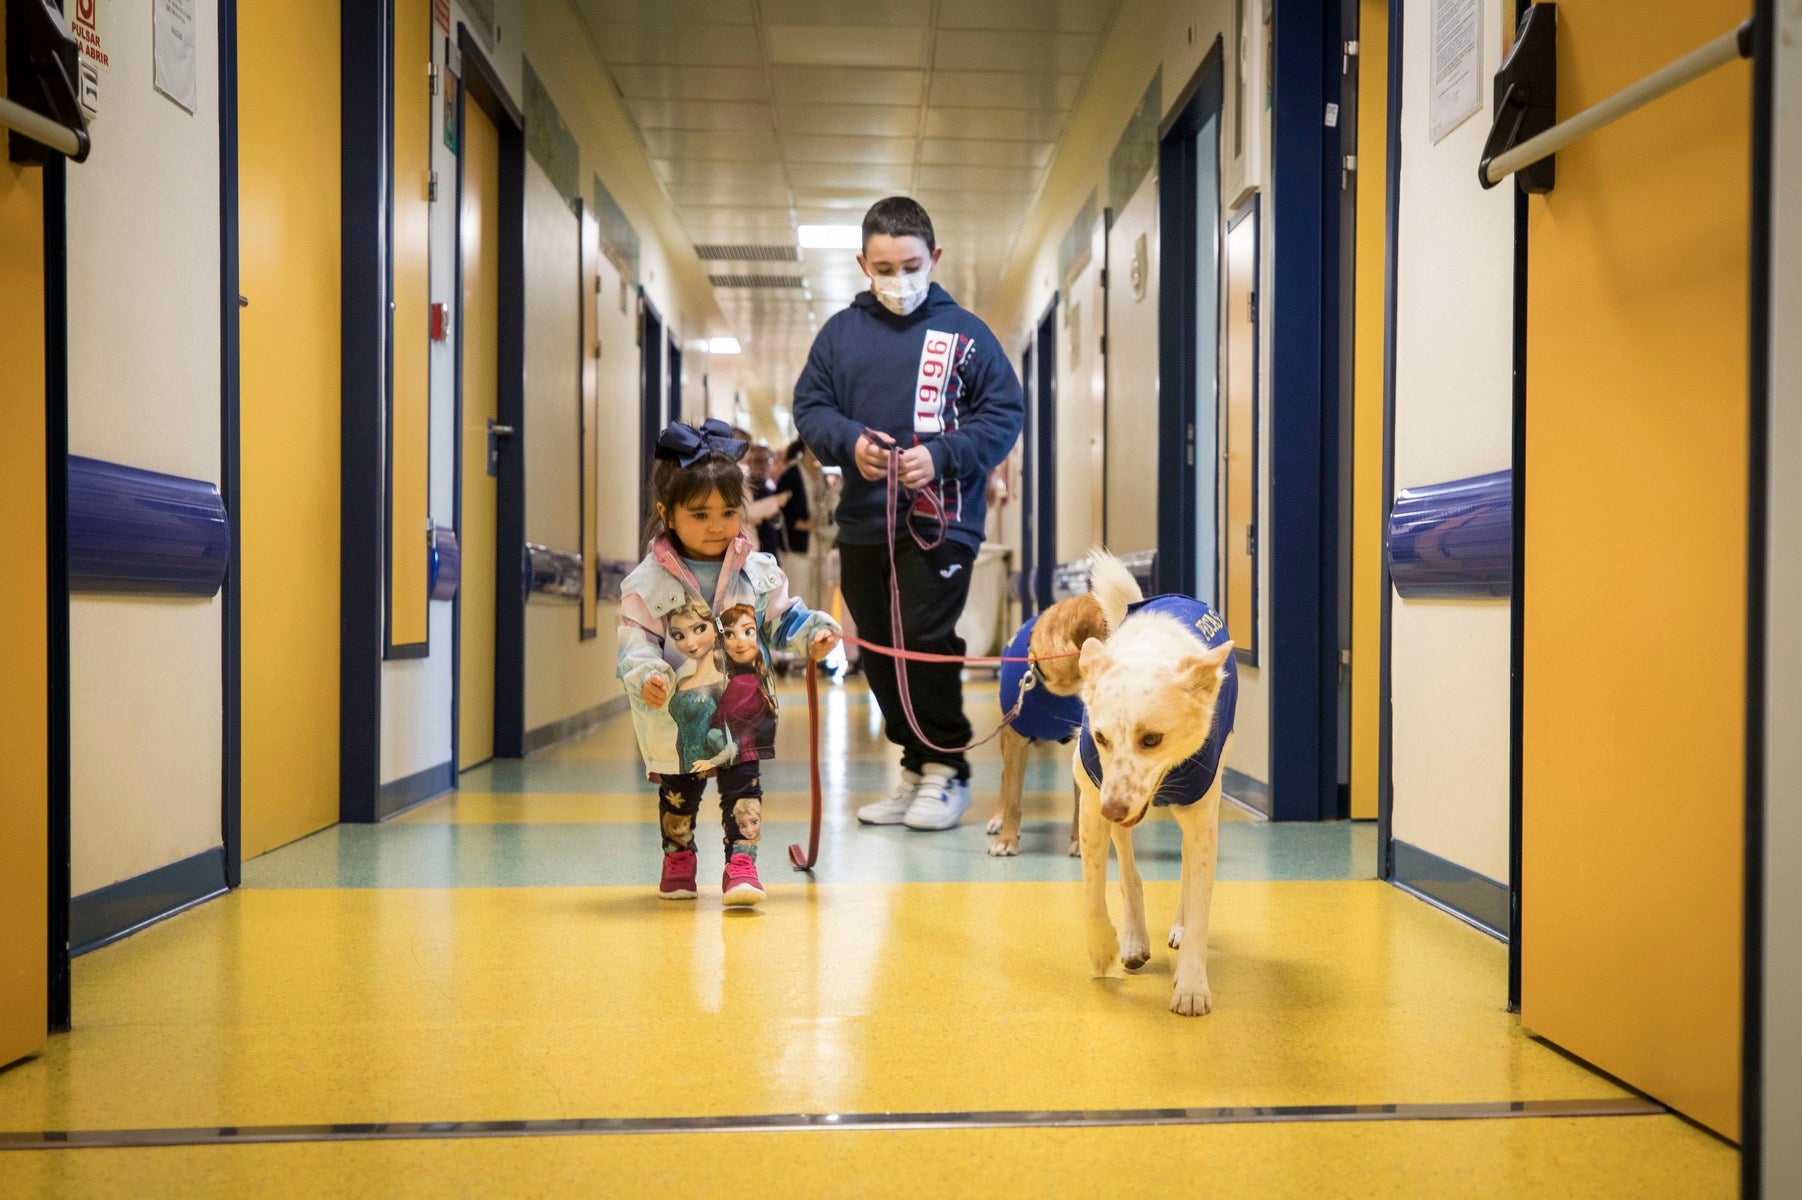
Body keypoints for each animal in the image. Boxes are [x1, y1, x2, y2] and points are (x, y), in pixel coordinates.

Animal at [1073, 547, 1232, 1009]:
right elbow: (1094, 889)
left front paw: (1192, 985)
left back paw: (1176, 928)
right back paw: (1133, 940)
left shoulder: (1202, 816)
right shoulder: (1092, 800)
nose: (1113, 808)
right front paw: (1102, 946)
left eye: (1152, 739)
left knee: (1186, 869)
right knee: (1130, 875)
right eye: (1100, 738)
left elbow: (1199, 901)